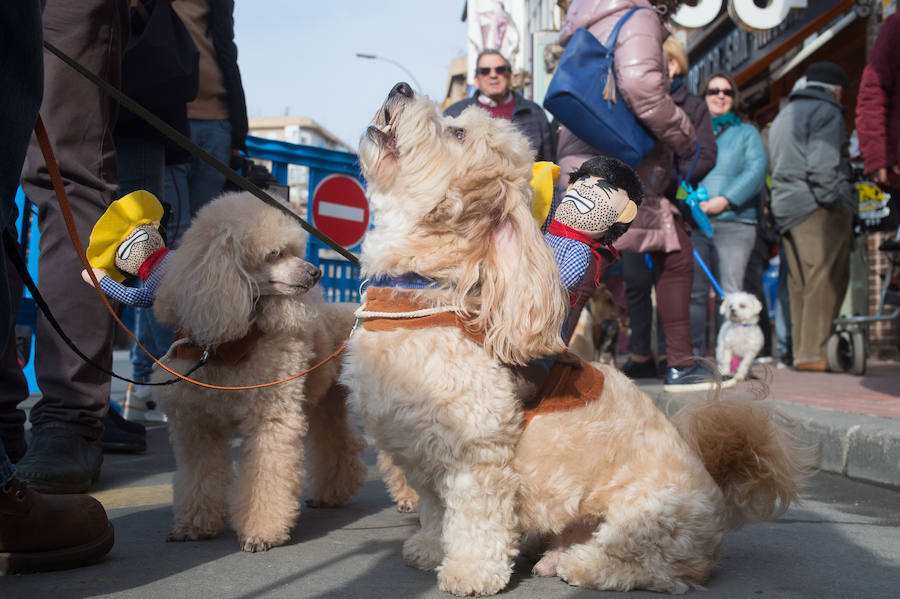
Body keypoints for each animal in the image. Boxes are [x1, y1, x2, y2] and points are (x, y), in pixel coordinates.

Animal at [153, 192, 368, 552]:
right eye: (274, 253)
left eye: (295, 249)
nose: (315, 273)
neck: (230, 348)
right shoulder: (197, 426)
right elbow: (199, 476)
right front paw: (194, 526)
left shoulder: (271, 417)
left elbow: (265, 475)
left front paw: (261, 533)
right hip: (326, 402)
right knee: (337, 440)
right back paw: (331, 494)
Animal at [342, 83, 812, 596]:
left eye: (457, 132)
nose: (400, 87)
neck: (426, 290)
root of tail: (717, 504)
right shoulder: (424, 458)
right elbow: (433, 509)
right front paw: (430, 548)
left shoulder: (476, 459)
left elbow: (473, 522)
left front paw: (470, 572)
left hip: (646, 518)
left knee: (642, 567)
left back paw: (577, 564)